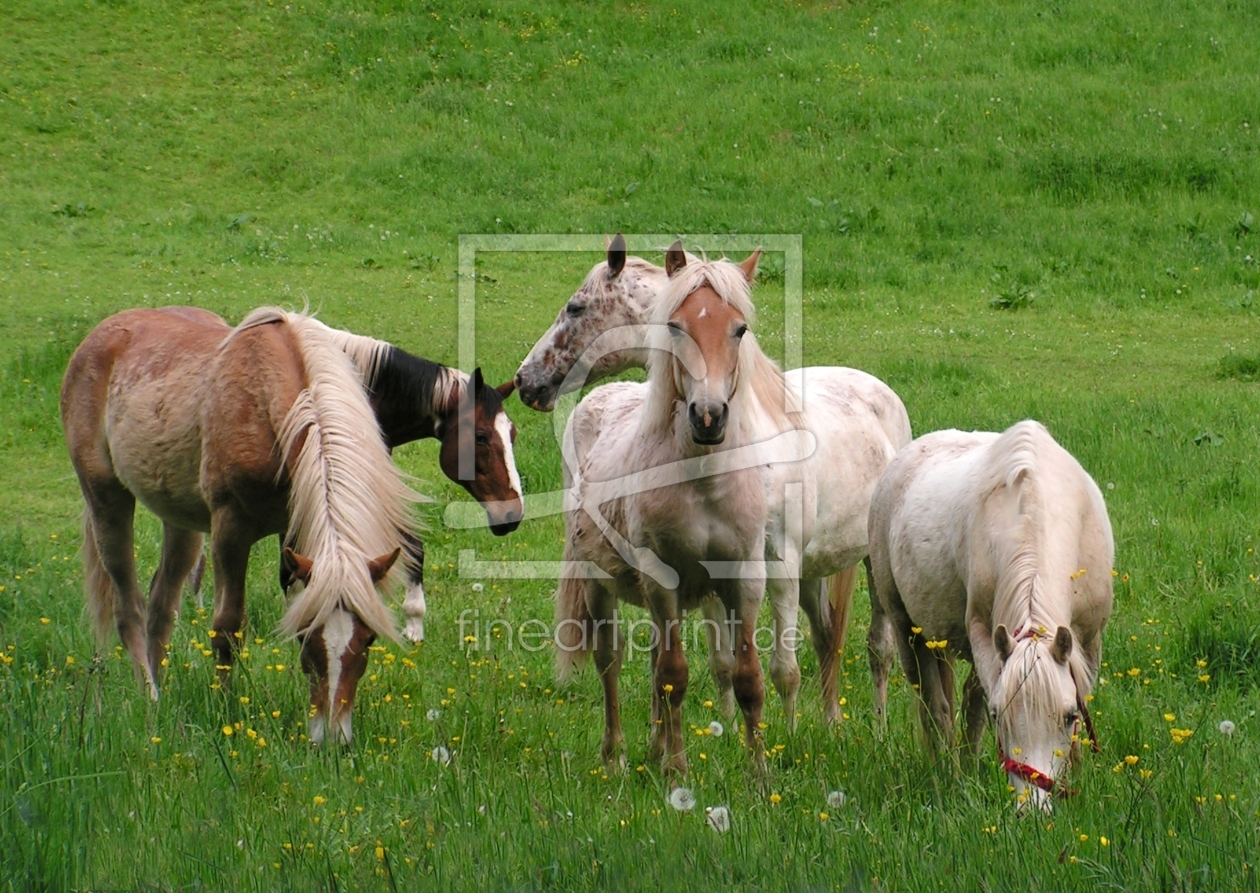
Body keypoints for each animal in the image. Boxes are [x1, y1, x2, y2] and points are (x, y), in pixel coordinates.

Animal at [61, 306, 415, 745]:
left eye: (368, 639)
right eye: (307, 636)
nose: (334, 740)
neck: (267, 407)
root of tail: (98, 337)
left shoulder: (295, 535)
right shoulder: (230, 530)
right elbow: (227, 626)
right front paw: (226, 711)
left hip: (181, 523)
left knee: (162, 608)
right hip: (106, 499)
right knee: (130, 609)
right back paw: (151, 699)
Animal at [526, 238, 912, 730]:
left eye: (575, 308)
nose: (525, 380)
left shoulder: (776, 565)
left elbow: (783, 670)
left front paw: (787, 735)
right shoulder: (717, 568)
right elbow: (724, 662)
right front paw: (726, 729)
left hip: (868, 565)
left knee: (878, 648)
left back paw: (876, 727)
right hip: (813, 569)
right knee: (827, 638)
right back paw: (831, 722)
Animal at [866, 420, 1113, 811]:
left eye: (1068, 716)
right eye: (1002, 716)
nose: (1032, 809)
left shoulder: (1088, 641)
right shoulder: (984, 633)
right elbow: (975, 707)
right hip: (904, 624)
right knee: (933, 705)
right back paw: (947, 771)